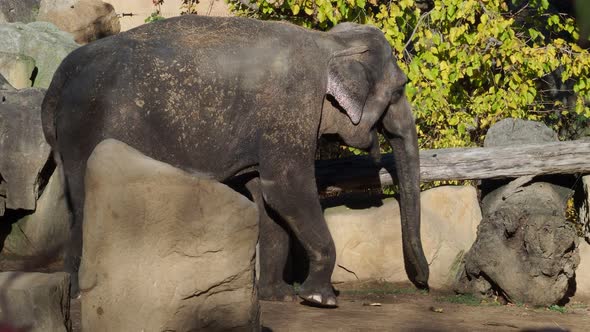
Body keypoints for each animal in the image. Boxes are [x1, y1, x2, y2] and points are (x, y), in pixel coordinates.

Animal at [41, 14, 430, 306]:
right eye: (400, 89)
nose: (423, 283)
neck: (329, 43)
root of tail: (58, 79)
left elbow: (266, 201)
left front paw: (279, 296)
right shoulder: (292, 105)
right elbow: (285, 190)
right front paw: (320, 299)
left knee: (75, 204)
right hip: (88, 128)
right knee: (85, 202)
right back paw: (80, 296)